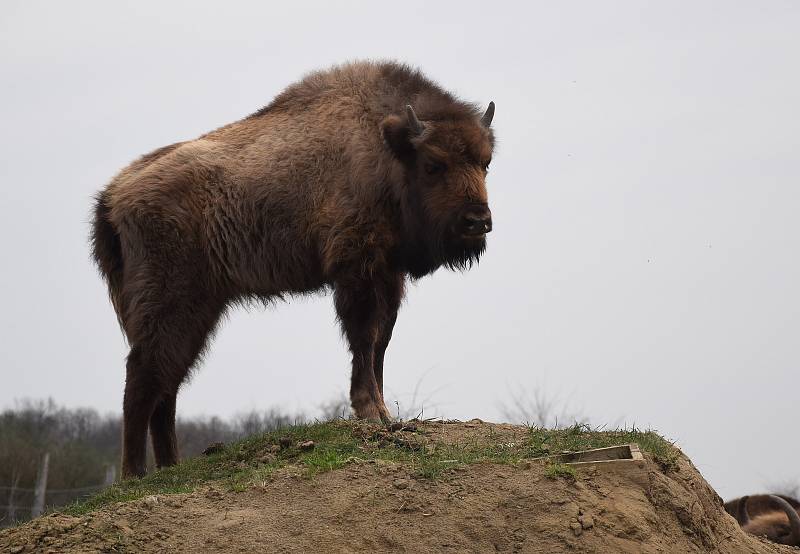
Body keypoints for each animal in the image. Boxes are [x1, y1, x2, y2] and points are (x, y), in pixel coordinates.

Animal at [92, 59, 494, 474]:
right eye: (433, 164)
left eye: (486, 163)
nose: (477, 221)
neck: (384, 146)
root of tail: (113, 196)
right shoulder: (357, 270)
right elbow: (364, 339)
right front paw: (370, 410)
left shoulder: (387, 275)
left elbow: (381, 343)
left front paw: (384, 413)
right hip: (172, 304)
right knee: (143, 378)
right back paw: (134, 475)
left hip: (196, 312)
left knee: (166, 383)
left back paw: (170, 466)